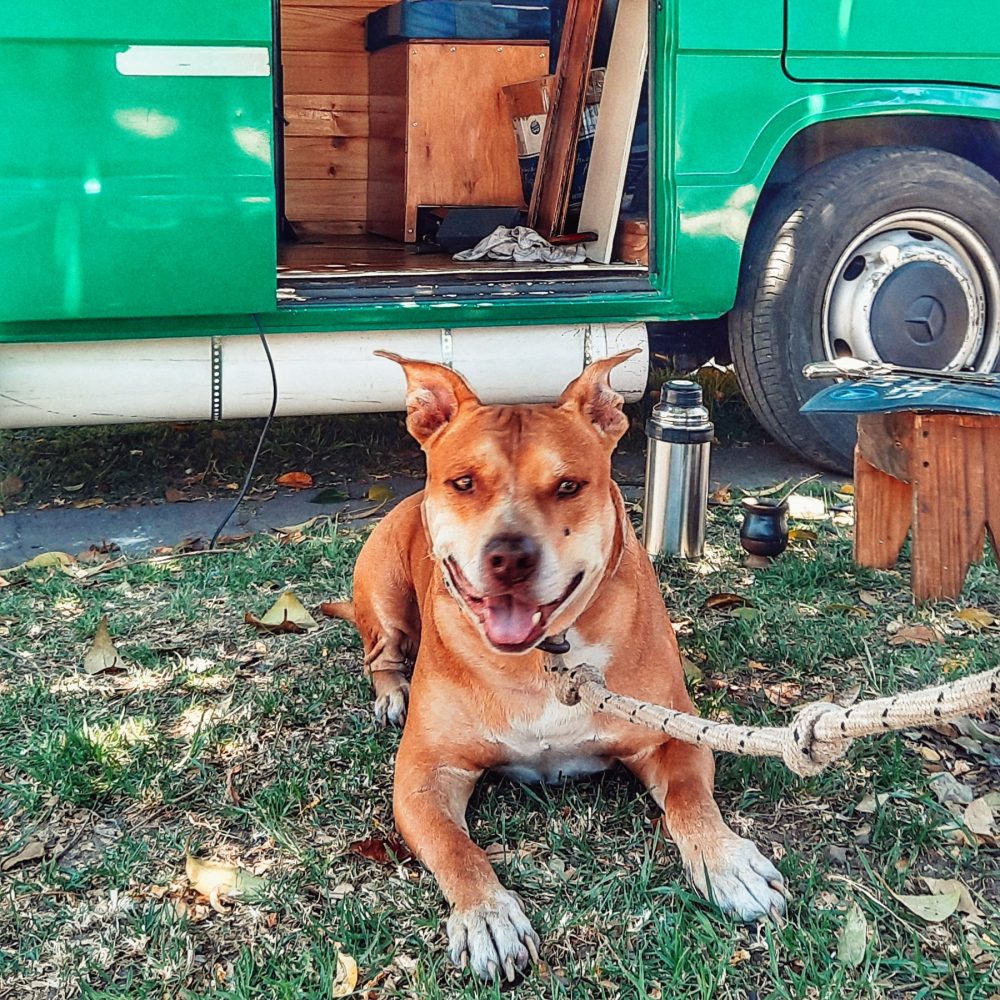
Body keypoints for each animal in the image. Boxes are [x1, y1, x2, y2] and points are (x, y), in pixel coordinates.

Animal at [334, 350, 788, 976]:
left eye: (569, 485)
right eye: (464, 482)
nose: (509, 556)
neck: (544, 659)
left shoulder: (673, 737)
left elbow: (691, 800)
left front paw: (729, 863)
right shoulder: (425, 774)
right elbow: (458, 849)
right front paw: (487, 915)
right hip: (383, 593)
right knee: (379, 654)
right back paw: (391, 694)